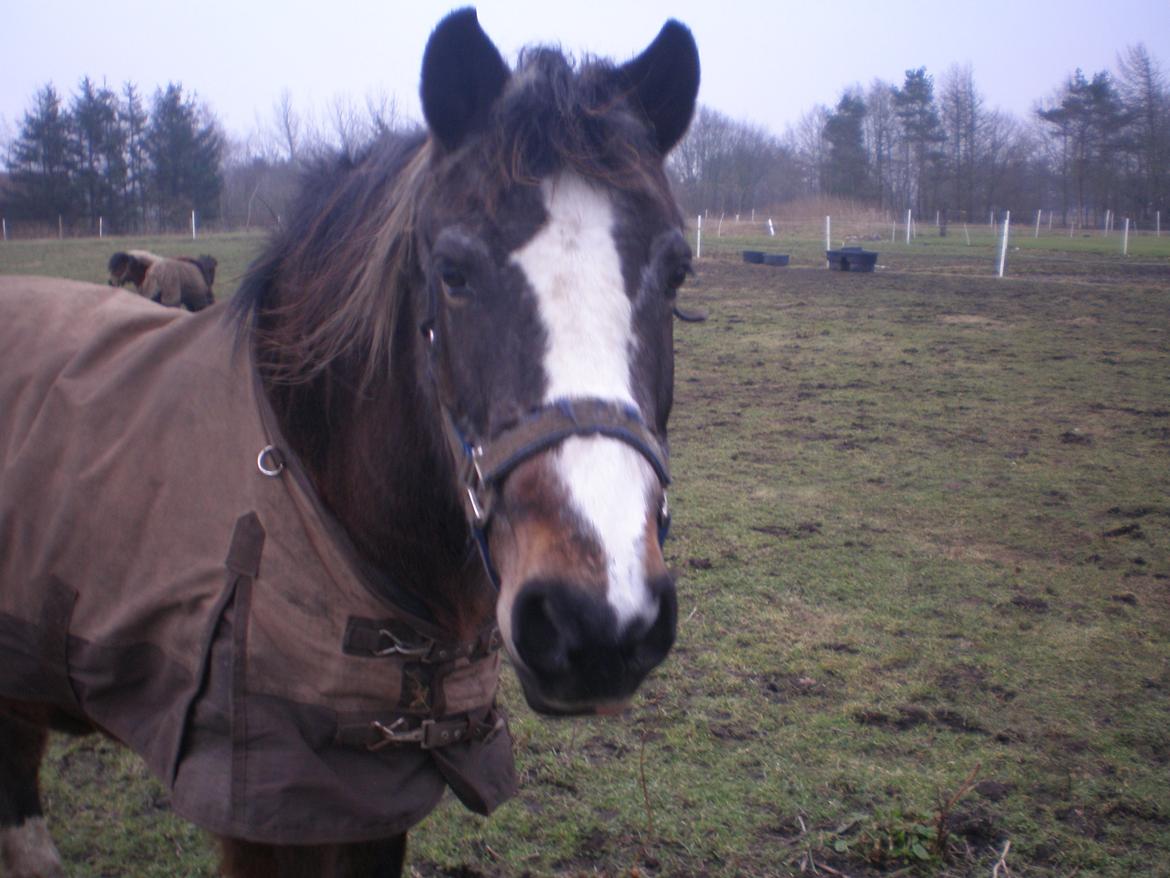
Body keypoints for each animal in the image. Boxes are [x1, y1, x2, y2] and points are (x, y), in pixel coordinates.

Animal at [0, 8, 699, 877]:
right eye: (452, 272)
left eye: (676, 273)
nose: (597, 621)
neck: (303, 482)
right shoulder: (265, 814)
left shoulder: (370, 799)